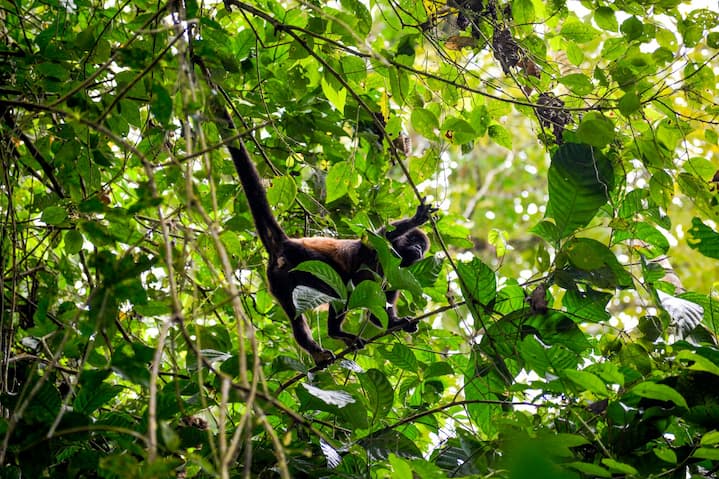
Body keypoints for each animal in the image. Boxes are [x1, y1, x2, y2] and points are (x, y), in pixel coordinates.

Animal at [225, 118, 436, 366]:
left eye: (423, 248)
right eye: (414, 240)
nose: (418, 250)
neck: (390, 261)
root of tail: (286, 244)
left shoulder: (395, 275)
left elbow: (378, 311)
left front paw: (398, 323)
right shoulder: (381, 250)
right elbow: (376, 236)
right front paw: (417, 217)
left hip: (278, 280)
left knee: (296, 316)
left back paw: (317, 349)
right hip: (306, 260)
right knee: (342, 284)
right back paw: (336, 333)